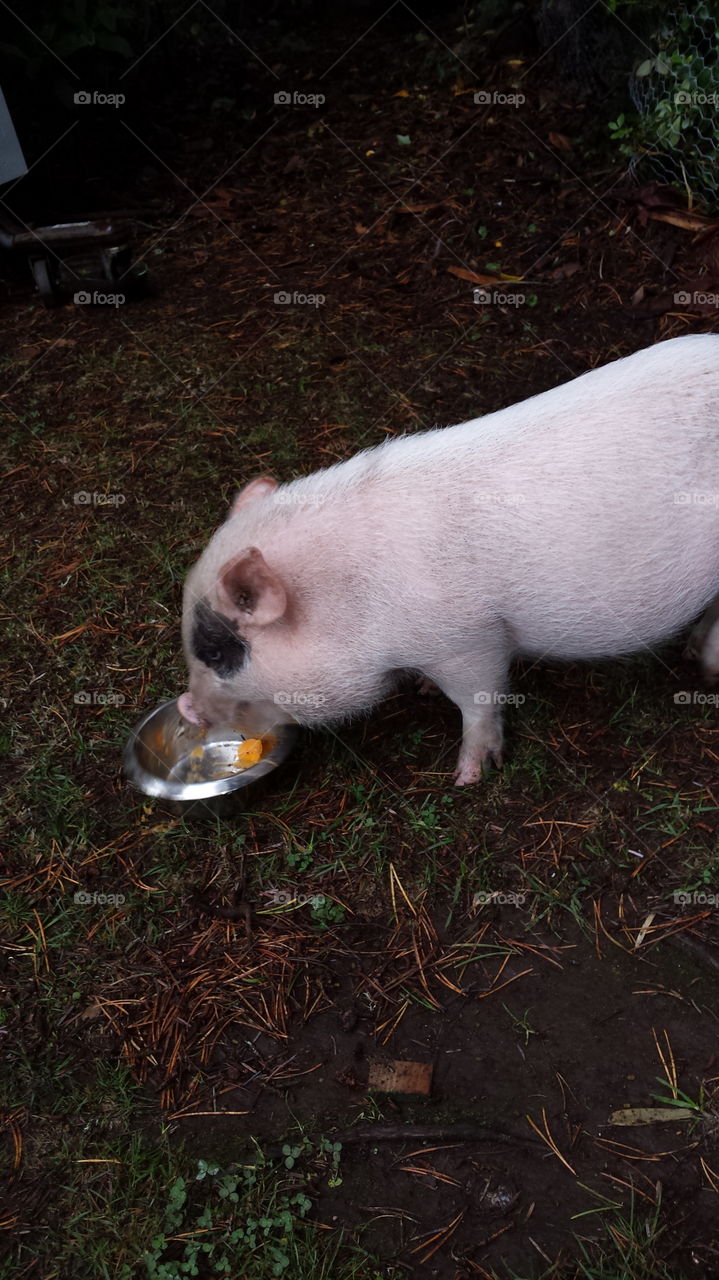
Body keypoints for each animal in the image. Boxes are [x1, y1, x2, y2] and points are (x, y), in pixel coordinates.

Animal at [178, 333, 719, 785]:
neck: (347, 597)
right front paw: (423, 691)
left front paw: (467, 778)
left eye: (217, 652)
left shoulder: (470, 641)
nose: (186, 708)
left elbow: (478, 702)